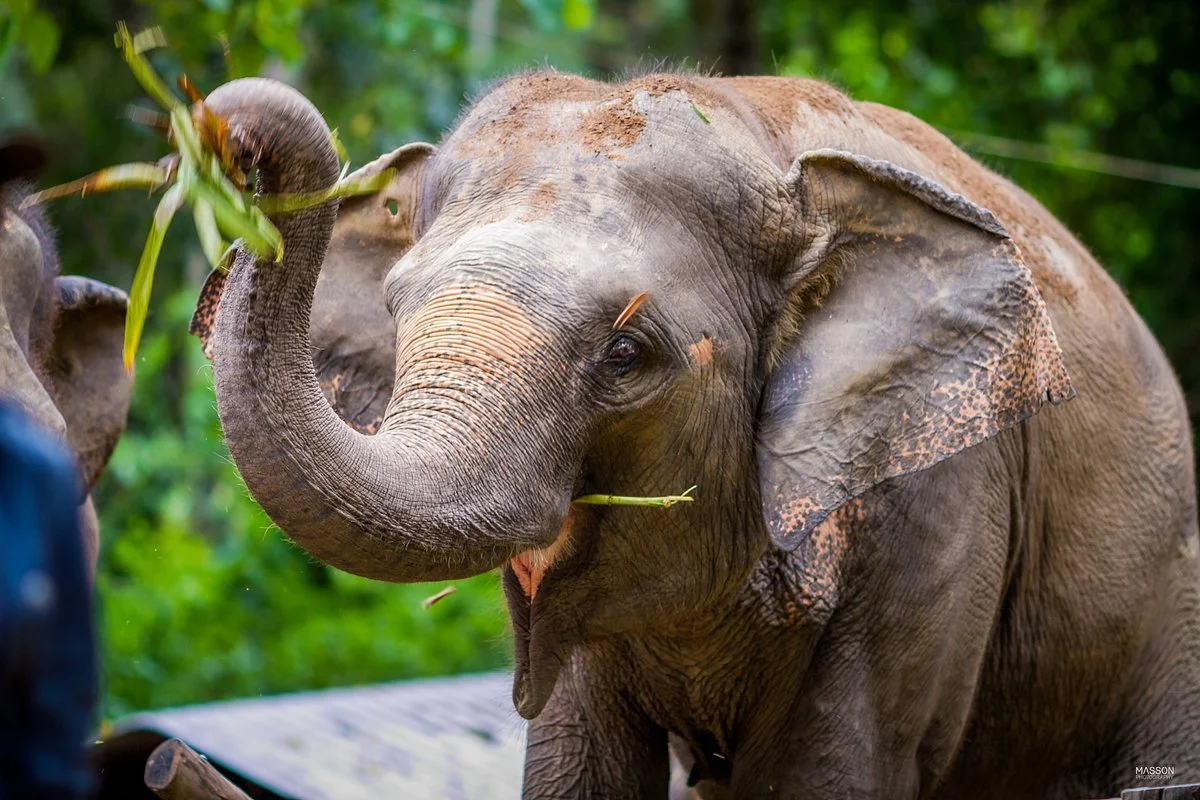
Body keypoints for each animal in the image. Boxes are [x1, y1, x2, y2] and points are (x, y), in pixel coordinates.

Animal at [191, 73, 1200, 799]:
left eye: (627, 352)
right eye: (397, 310)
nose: (223, 127)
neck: (767, 141)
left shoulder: (938, 502)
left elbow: (834, 772)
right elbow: (580, 769)